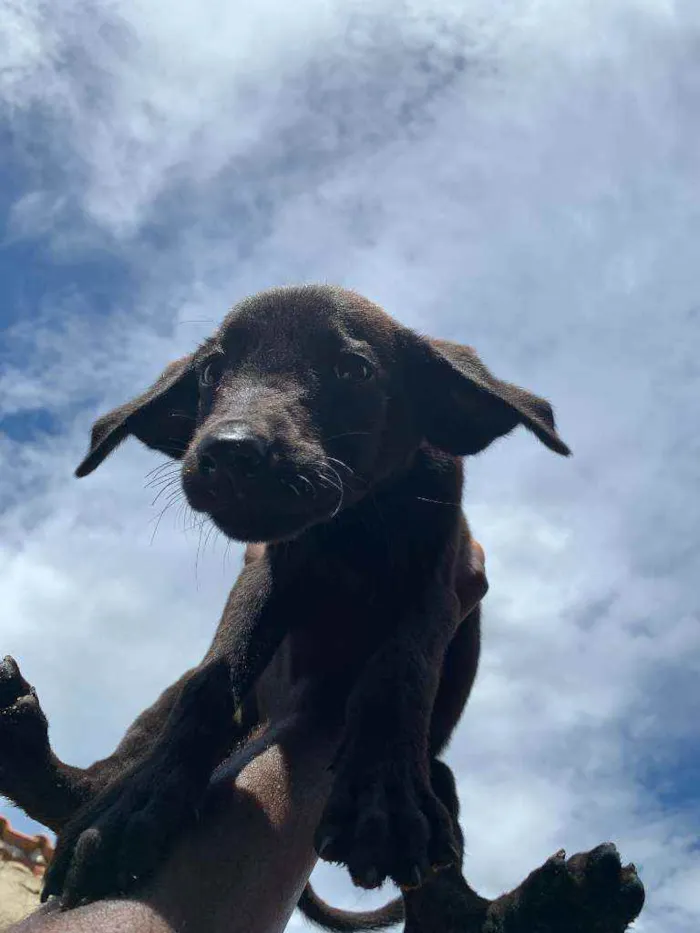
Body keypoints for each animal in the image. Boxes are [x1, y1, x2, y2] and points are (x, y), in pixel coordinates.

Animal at [1, 286, 576, 924]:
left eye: (354, 369)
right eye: (212, 373)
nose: (229, 452)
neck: (350, 531)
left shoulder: (439, 581)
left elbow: (401, 668)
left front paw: (382, 793)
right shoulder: (268, 576)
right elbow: (211, 681)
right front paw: (137, 804)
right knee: (93, 776)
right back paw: (55, 771)